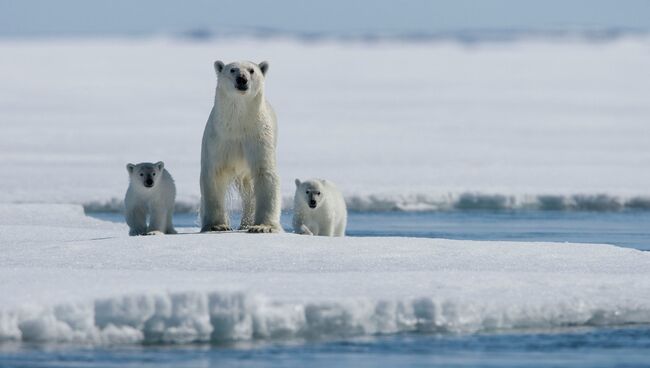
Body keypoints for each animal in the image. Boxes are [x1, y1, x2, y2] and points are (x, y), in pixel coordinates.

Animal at [200, 60, 280, 233]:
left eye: (252, 70)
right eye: (232, 70)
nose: (242, 79)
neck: (238, 124)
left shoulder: (258, 137)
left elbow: (264, 174)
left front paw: (262, 227)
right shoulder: (218, 139)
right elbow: (214, 175)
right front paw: (217, 225)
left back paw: (247, 223)